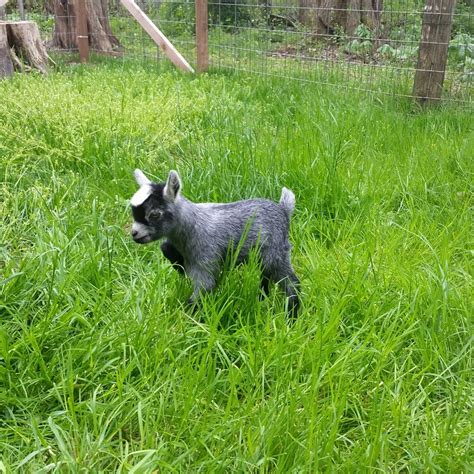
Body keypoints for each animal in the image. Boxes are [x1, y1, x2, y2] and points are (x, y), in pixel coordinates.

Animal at [130, 168, 300, 320]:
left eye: (154, 214)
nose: (134, 233)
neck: (193, 225)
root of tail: (283, 209)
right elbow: (165, 247)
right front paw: (179, 267)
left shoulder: (205, 259)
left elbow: (204, 289)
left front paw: (186, 320)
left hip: (276, 251)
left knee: (290, 282)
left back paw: (291, 317)